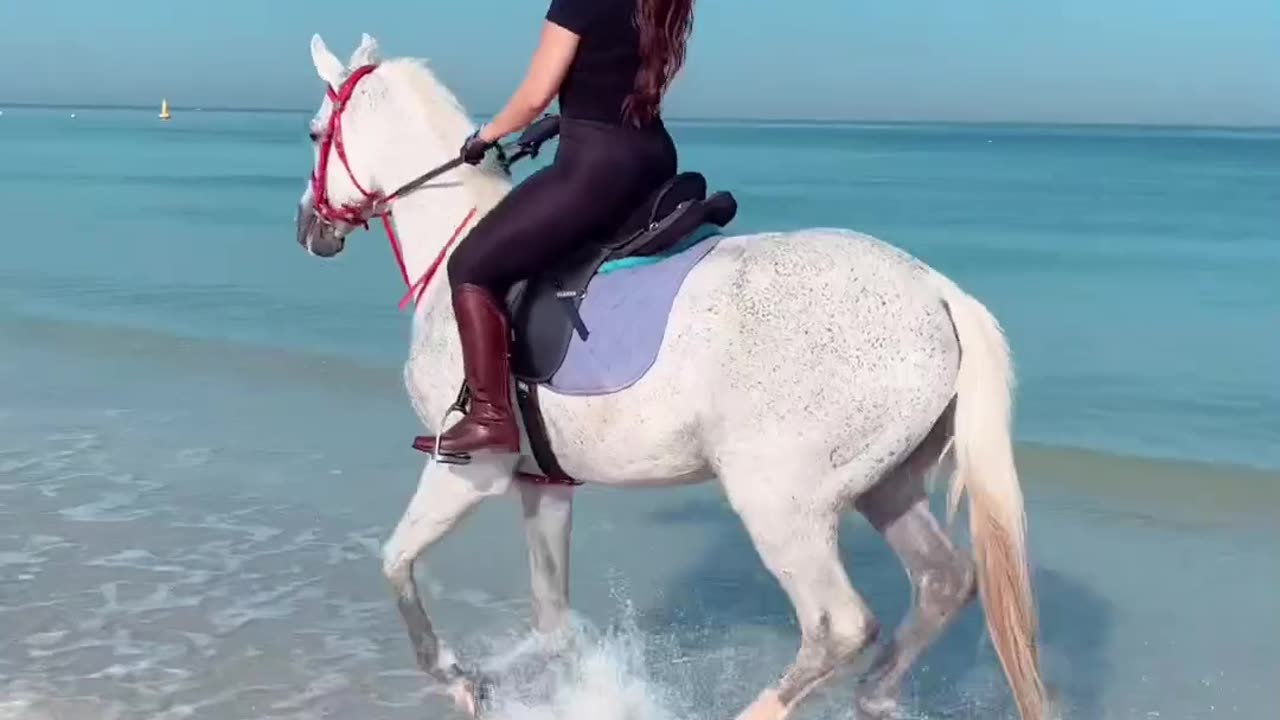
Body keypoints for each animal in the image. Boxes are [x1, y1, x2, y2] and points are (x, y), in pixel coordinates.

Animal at [294, 32, 1044, 717]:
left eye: (314, 133)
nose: (310, 229)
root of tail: (937, 293)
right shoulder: (544, 482)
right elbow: (552, 618)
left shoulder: (469, 469)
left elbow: (395, 562)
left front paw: (457, 678)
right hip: (887, 483)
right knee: (944, 582)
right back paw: (877, 697)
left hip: (781, 503)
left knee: (840, 625)